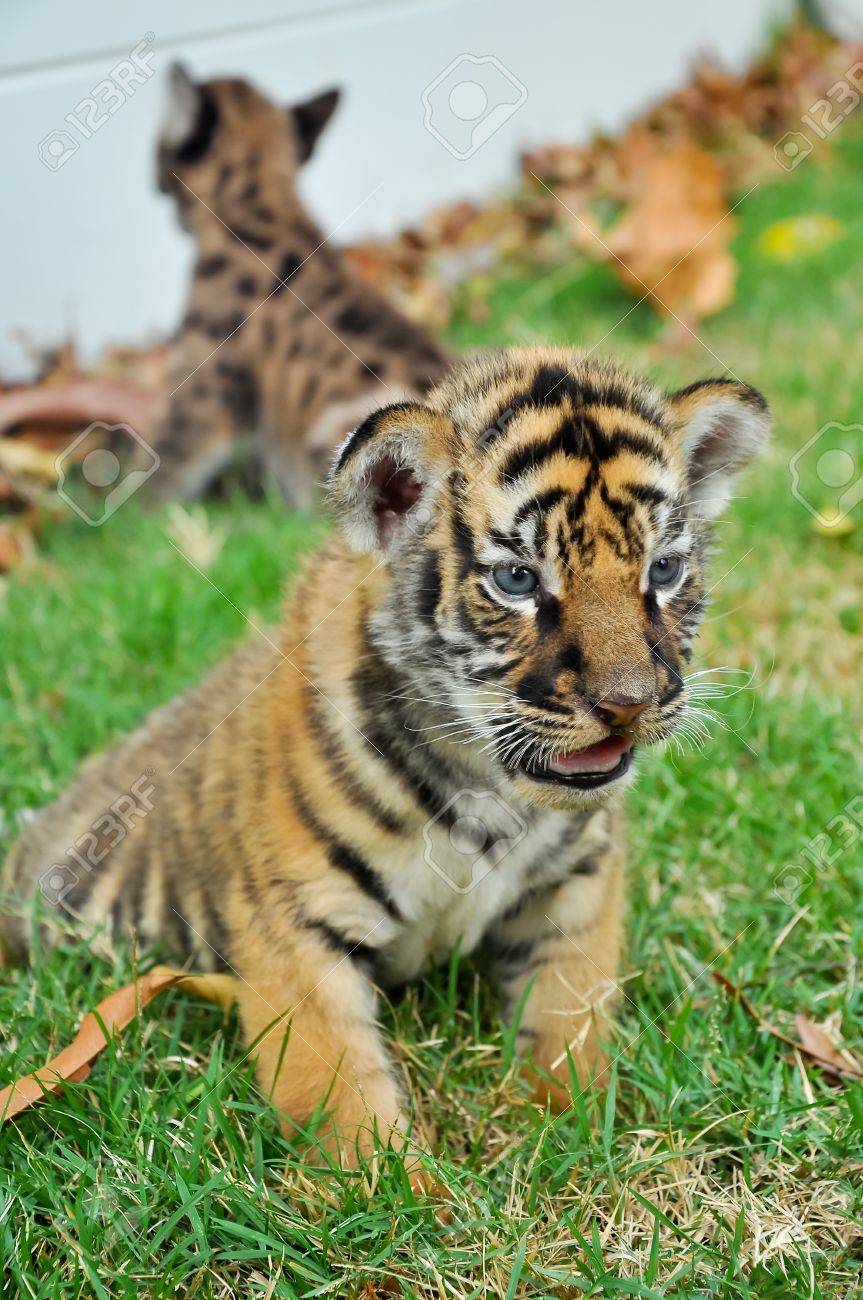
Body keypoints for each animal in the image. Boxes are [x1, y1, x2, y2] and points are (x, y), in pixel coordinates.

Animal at [1, 346, 769, 1165]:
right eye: (518, 580)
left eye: (662, 571)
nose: (629, 703)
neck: (485, 784)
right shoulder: (293, 920)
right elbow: (338, 1089)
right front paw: (395, 1186)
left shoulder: (579, 876)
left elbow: (571, 1013)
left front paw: (570, 1128)